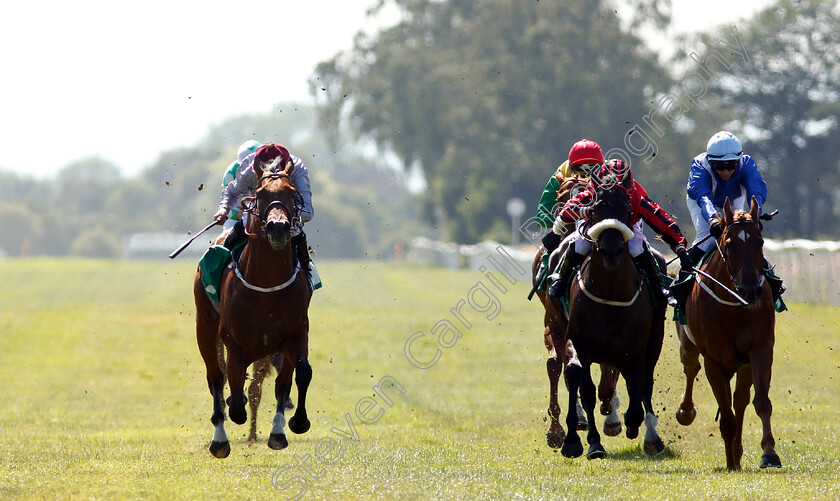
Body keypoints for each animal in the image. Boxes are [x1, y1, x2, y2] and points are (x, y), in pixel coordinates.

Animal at [194, 156, 312, 458]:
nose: (278, 227)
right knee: (216, 377)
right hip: (205, 325)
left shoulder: (295, 334)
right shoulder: (233, 341)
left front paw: (292, 425)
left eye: (292, 193)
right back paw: (220, 440)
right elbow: (234, 393)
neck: (267, 285)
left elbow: (299, 375)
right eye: (259, 194)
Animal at [556, 175, 668, 458]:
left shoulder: (636, 349)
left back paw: (651, 436)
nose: (610, 252)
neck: (610, 294)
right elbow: (579, 380)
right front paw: (580, 441)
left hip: (655, 339)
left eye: (627, 211)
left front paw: (634, 424)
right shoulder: (578, 340)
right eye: (595, 209)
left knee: (646, 382)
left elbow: (637, 390)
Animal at [672, 195, 784, 468]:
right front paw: (731, 461)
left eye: (760, 242)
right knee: (691, 367)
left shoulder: (760, 349)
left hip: (742, 364)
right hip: (688, 345)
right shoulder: (713, 360)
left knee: (740, 399)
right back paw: (686, 411)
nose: (751, 291)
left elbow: (760, 402)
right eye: (730, 245)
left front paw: (768, 452)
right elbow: (726, 415)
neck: (734, 305)